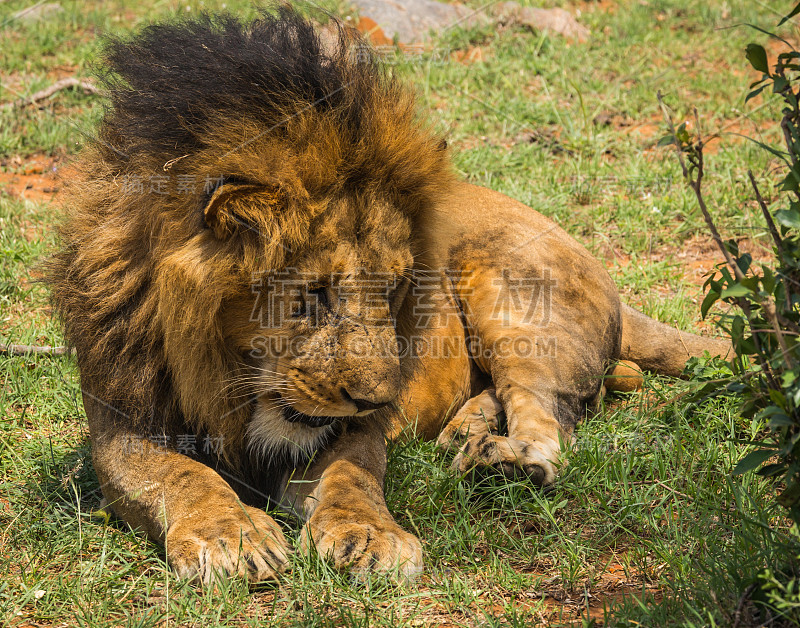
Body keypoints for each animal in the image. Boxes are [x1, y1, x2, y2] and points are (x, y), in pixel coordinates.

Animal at [47, 7, 728, 584]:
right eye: (313, 294)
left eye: (397, 287)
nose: (380, 397)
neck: (224, 380)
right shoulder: (121, 423)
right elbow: (179, 474)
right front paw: (230, 536)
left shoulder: (351, 429)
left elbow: (353, 477)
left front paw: (370, 538)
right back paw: (468, 436)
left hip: (508, 288)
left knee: (549, 413)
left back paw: (506, 461)